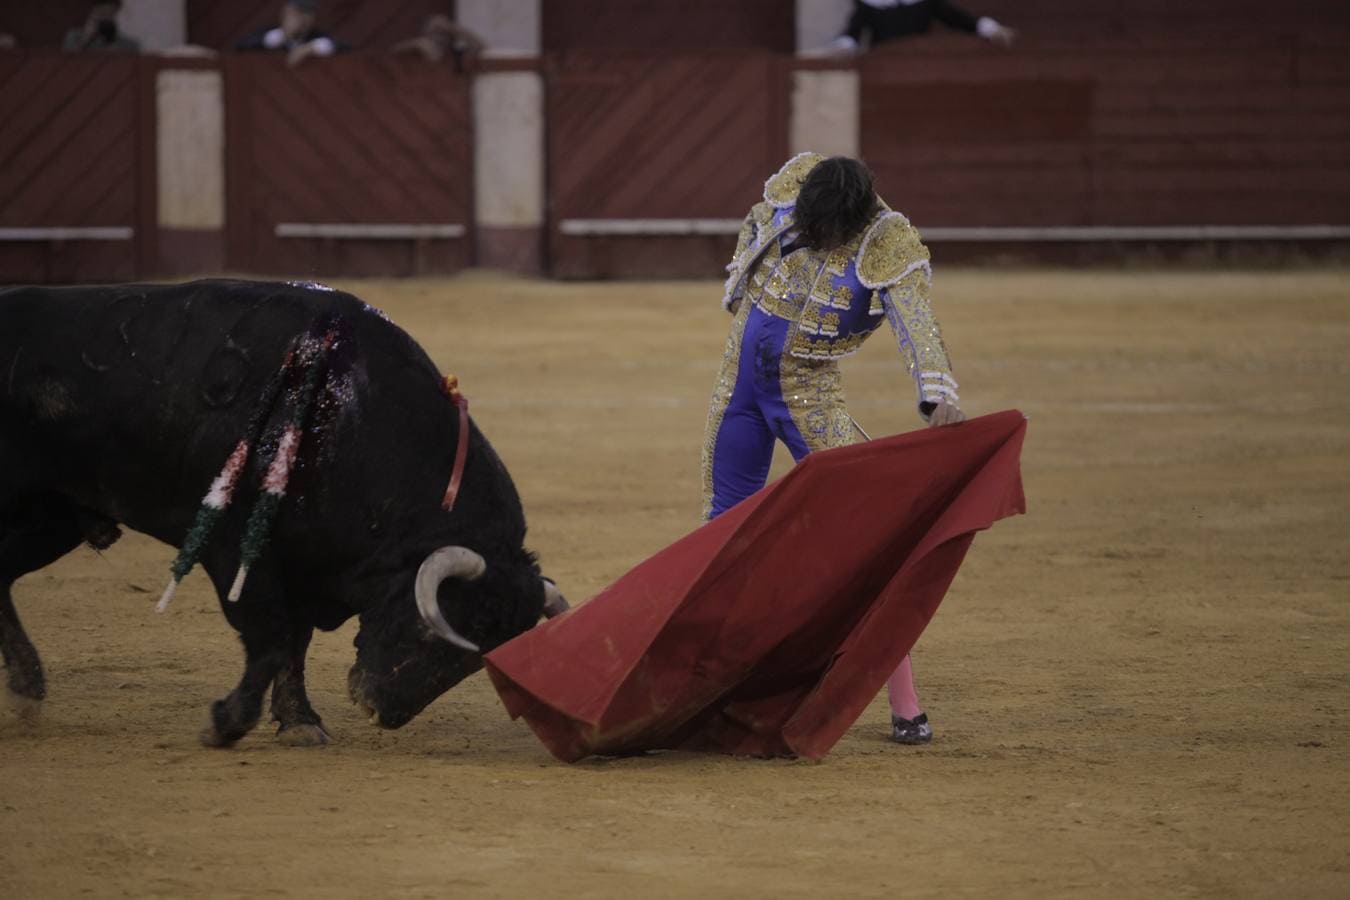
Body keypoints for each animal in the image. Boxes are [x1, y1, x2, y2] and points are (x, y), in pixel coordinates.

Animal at [0, 279, 558, 744]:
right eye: (439, 624)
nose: (379, 710)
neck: (346, 421)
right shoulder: (236, 549)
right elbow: (270, 638)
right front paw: (225, 724)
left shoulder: (303, 562)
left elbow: (294, 643)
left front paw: (298, 722)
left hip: (53, 518)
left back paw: (27, 691)